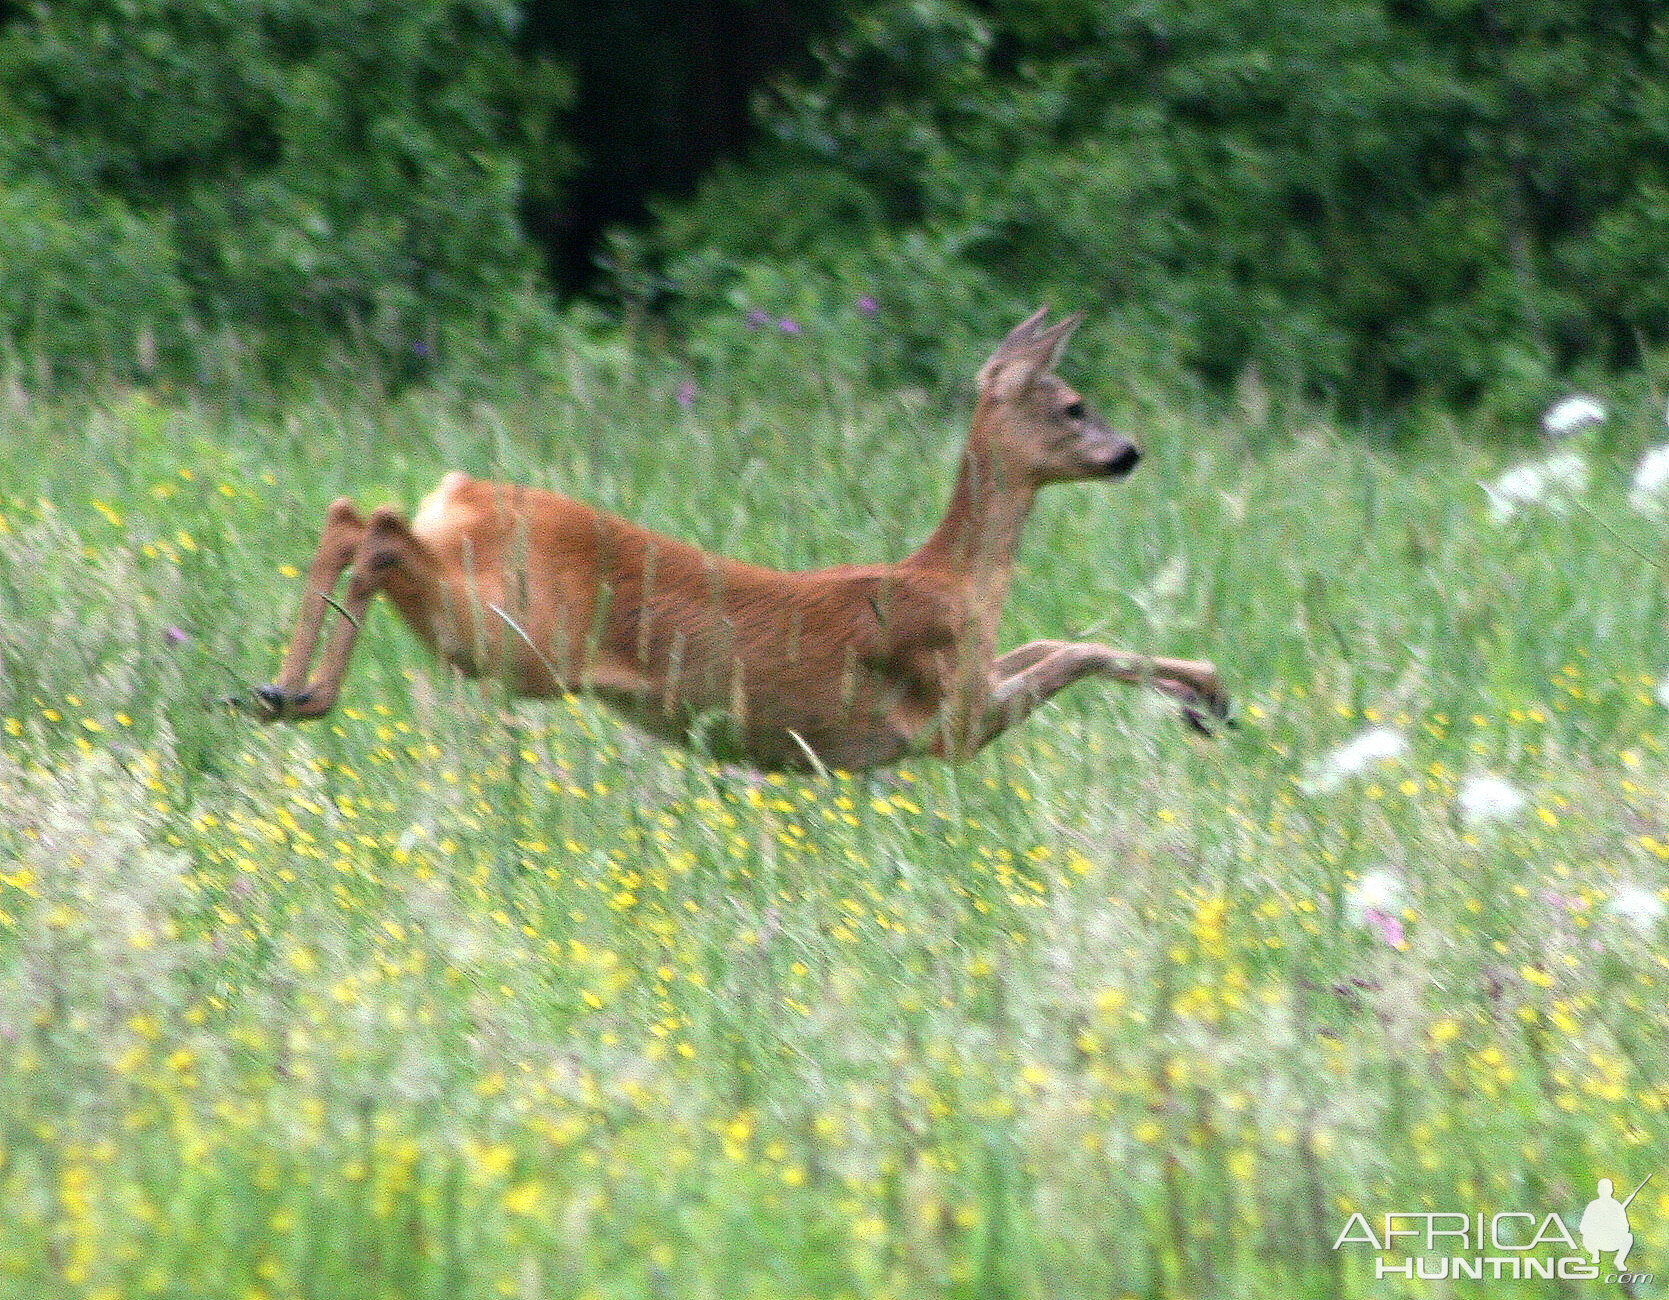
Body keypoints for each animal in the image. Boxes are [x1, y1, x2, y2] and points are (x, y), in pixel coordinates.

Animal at [238, 308, 1228, 767]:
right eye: (1073, 406)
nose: (1130, 452)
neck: (954, 580)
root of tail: (462, 494)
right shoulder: (948, 718)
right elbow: (1078, 651)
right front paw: (1207, 693)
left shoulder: (969, 679)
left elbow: (1059, 640)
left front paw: (1204, 694)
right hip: (519, 637)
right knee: (378, 530)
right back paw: (302, 694)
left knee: (350, 513)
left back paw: (276, 690)